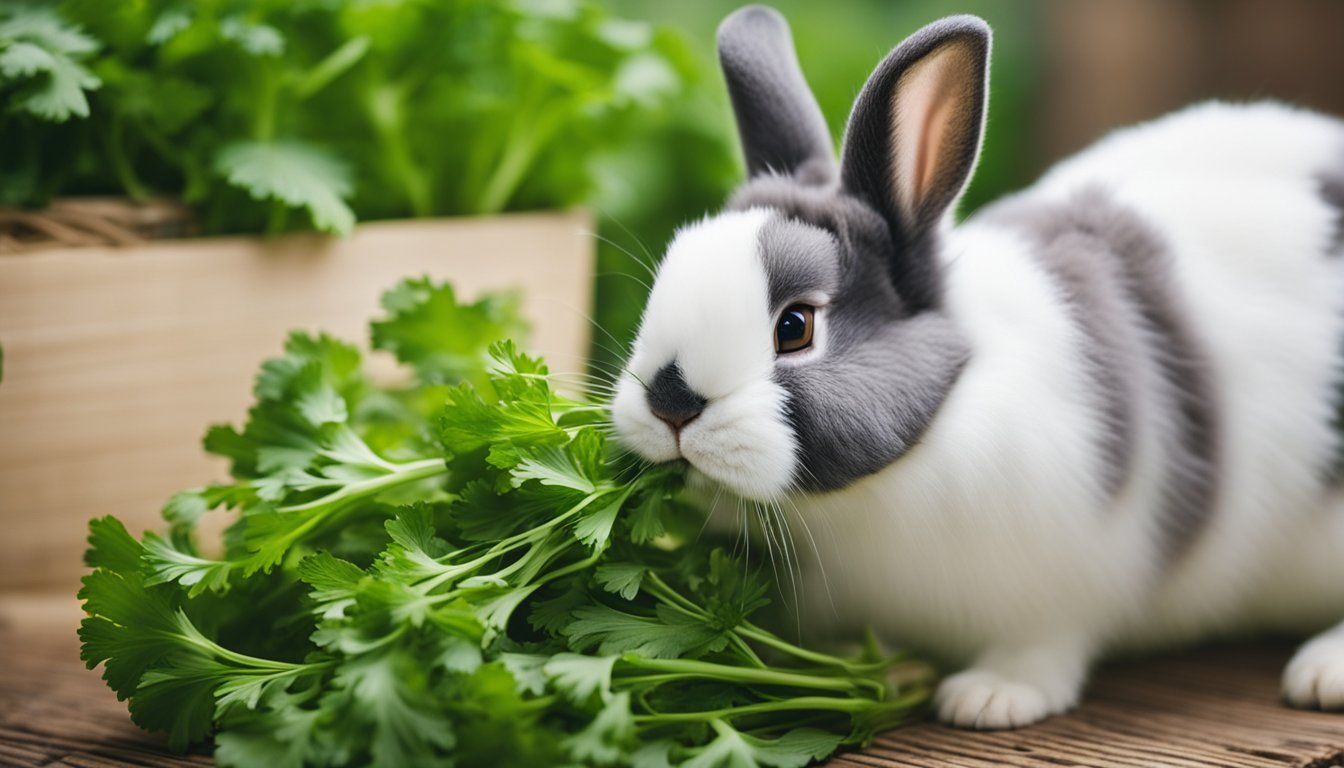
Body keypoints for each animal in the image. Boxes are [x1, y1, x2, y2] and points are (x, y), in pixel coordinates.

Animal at [610, 4, 1344, 730]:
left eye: (795, 327)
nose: (671, 403)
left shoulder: (1067, 585)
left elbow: (1042, 648)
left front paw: (989, 698)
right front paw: (885, 670)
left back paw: (1321, 675)